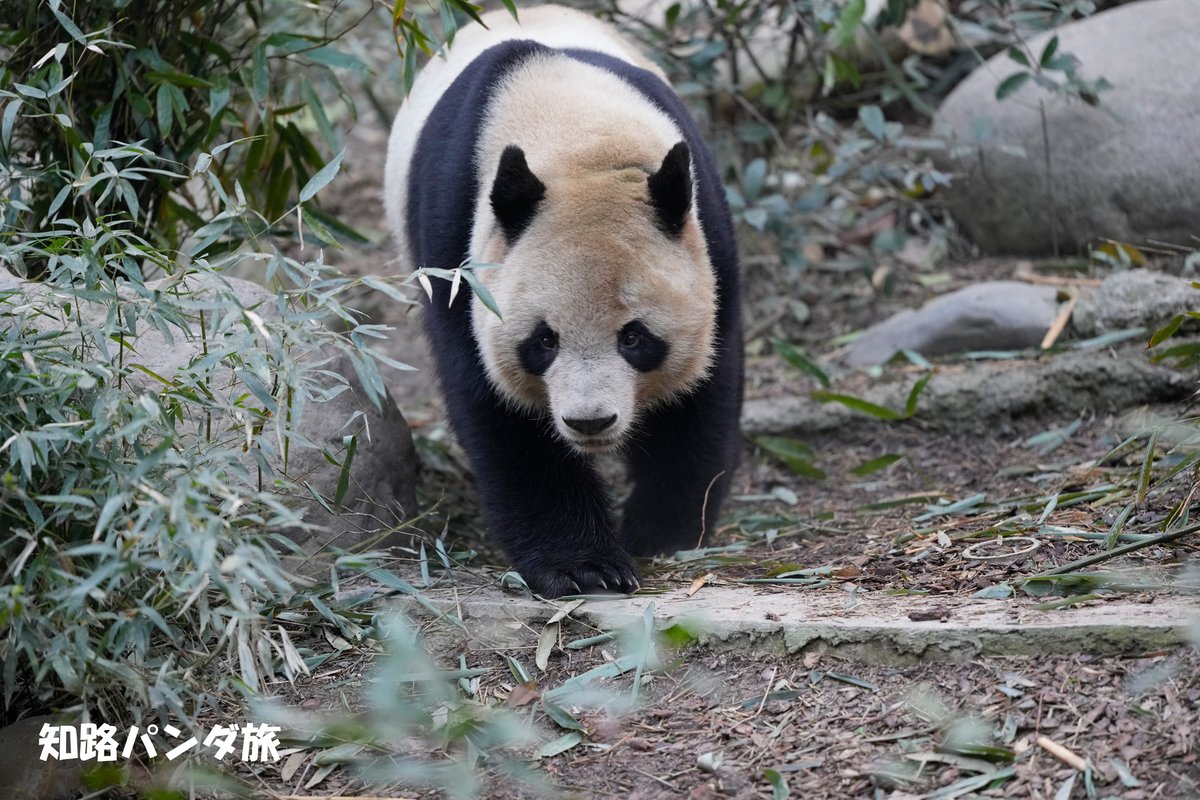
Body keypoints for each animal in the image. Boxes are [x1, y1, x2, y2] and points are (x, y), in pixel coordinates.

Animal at [384, 5, 742, 598]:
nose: (590, 422)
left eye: (634, 337)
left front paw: (660, 532)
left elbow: (700, 388)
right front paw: (586, 566)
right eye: (543, 341)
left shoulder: (704, 230)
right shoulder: (456, 245)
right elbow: (497, 407)